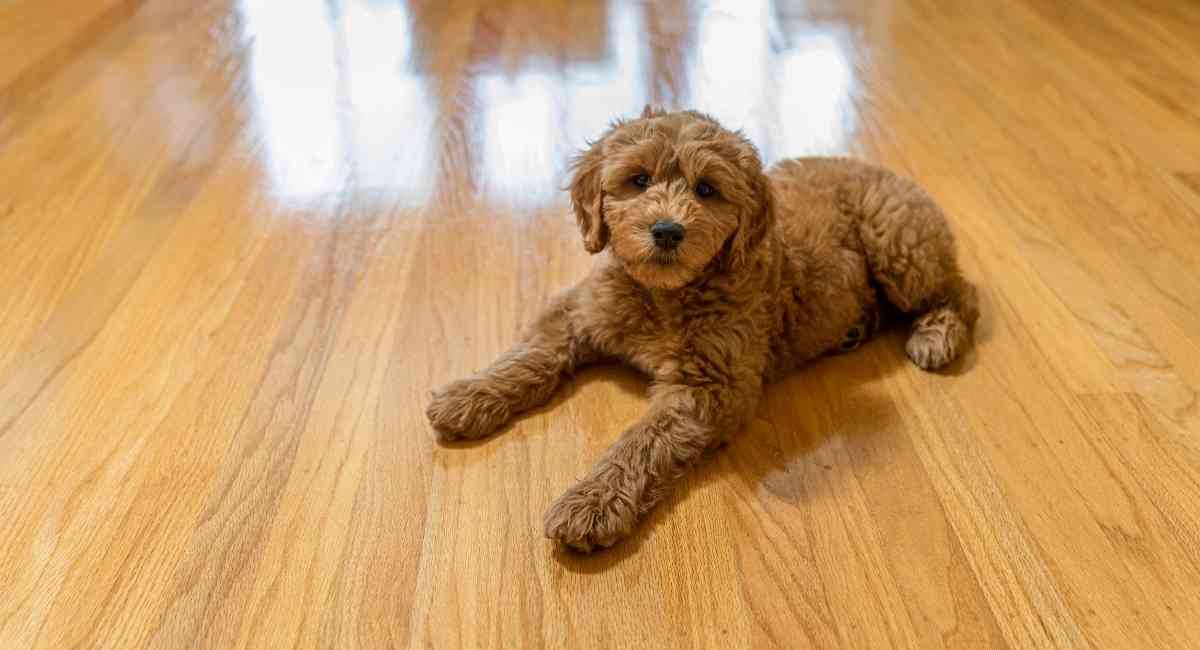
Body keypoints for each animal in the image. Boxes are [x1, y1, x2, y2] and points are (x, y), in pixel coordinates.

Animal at [427, 108, 979, 556]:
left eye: (707, 189)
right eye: (638, 179)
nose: (667, 231)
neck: (664, 294)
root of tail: (887, 171)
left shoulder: (710, 384)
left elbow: (642, 442)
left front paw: (593, 502)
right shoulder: (579, 312)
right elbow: (531, 353)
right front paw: (471, 395)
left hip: (900, 247)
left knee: (961, 289)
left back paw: (936, 334)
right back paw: (857, 327)